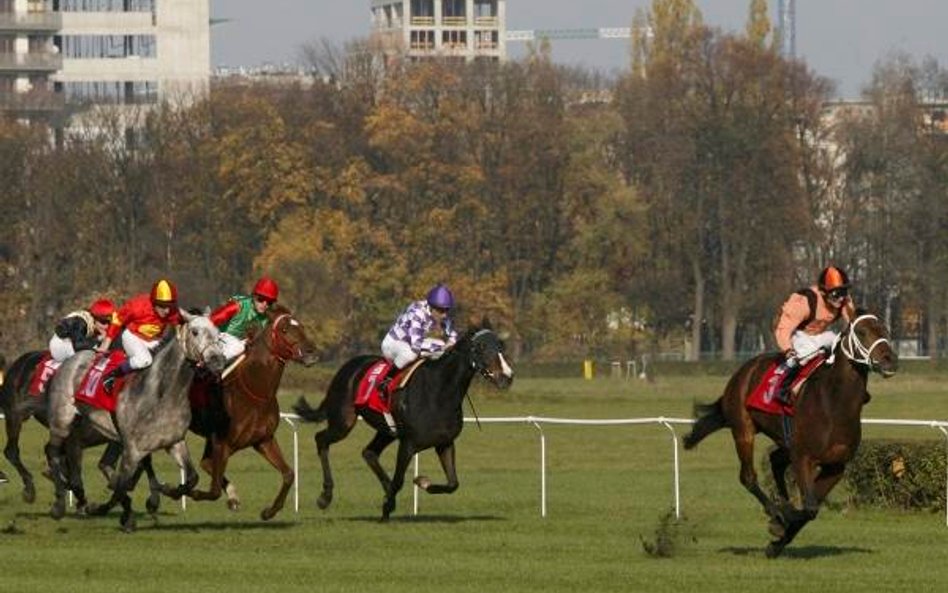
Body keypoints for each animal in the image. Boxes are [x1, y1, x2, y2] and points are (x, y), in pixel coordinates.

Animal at [45, 310, 226, 532]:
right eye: (195, 332)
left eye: (217, 332)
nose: (217, 360)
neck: (163, 393)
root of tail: (72, 358)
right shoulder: (132, 449)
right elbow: (121, 485)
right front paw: (111, 511)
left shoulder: (174, 442)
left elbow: (192, 477)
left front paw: (168, 490)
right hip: (61, 421)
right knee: (53, 452)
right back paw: (60, 504)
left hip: (86, 428)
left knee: (72, 451)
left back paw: (79, 494)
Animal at [189, 306, 318, 520]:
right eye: (284, 329)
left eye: (301, 326)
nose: (311, 353)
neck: (254, 392)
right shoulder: (223, 443)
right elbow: (213, 489)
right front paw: (188, 492)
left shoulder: (263, 440)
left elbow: (289, 474)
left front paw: (269, 511)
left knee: (206, 463)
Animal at [292, 322, 516, 520]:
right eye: (481, 347)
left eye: (500, 346)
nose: (507, 376)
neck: (439, 393)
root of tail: (348, 366)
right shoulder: (408, 443)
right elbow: (399, 480)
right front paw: (386, 509)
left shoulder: (444, 443)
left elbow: (453, 484)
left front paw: (421, 482)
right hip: (343, 422)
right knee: (321, 439)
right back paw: (325, 496)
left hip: (386, 430)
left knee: (369, 452)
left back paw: (385, 490)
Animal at [680, 312, 896, 556]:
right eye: (862, 332)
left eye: (885, 329)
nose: (890, 360)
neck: (834, 404)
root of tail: (744, 370)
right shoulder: (803, 457)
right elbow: (809, 507)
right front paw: (781, 520)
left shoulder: (835, 466)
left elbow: (811, 507)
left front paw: (777, 542)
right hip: (743, 428)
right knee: (748, 476)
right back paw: (775, 510)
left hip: (785, 439)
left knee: (775, 460)